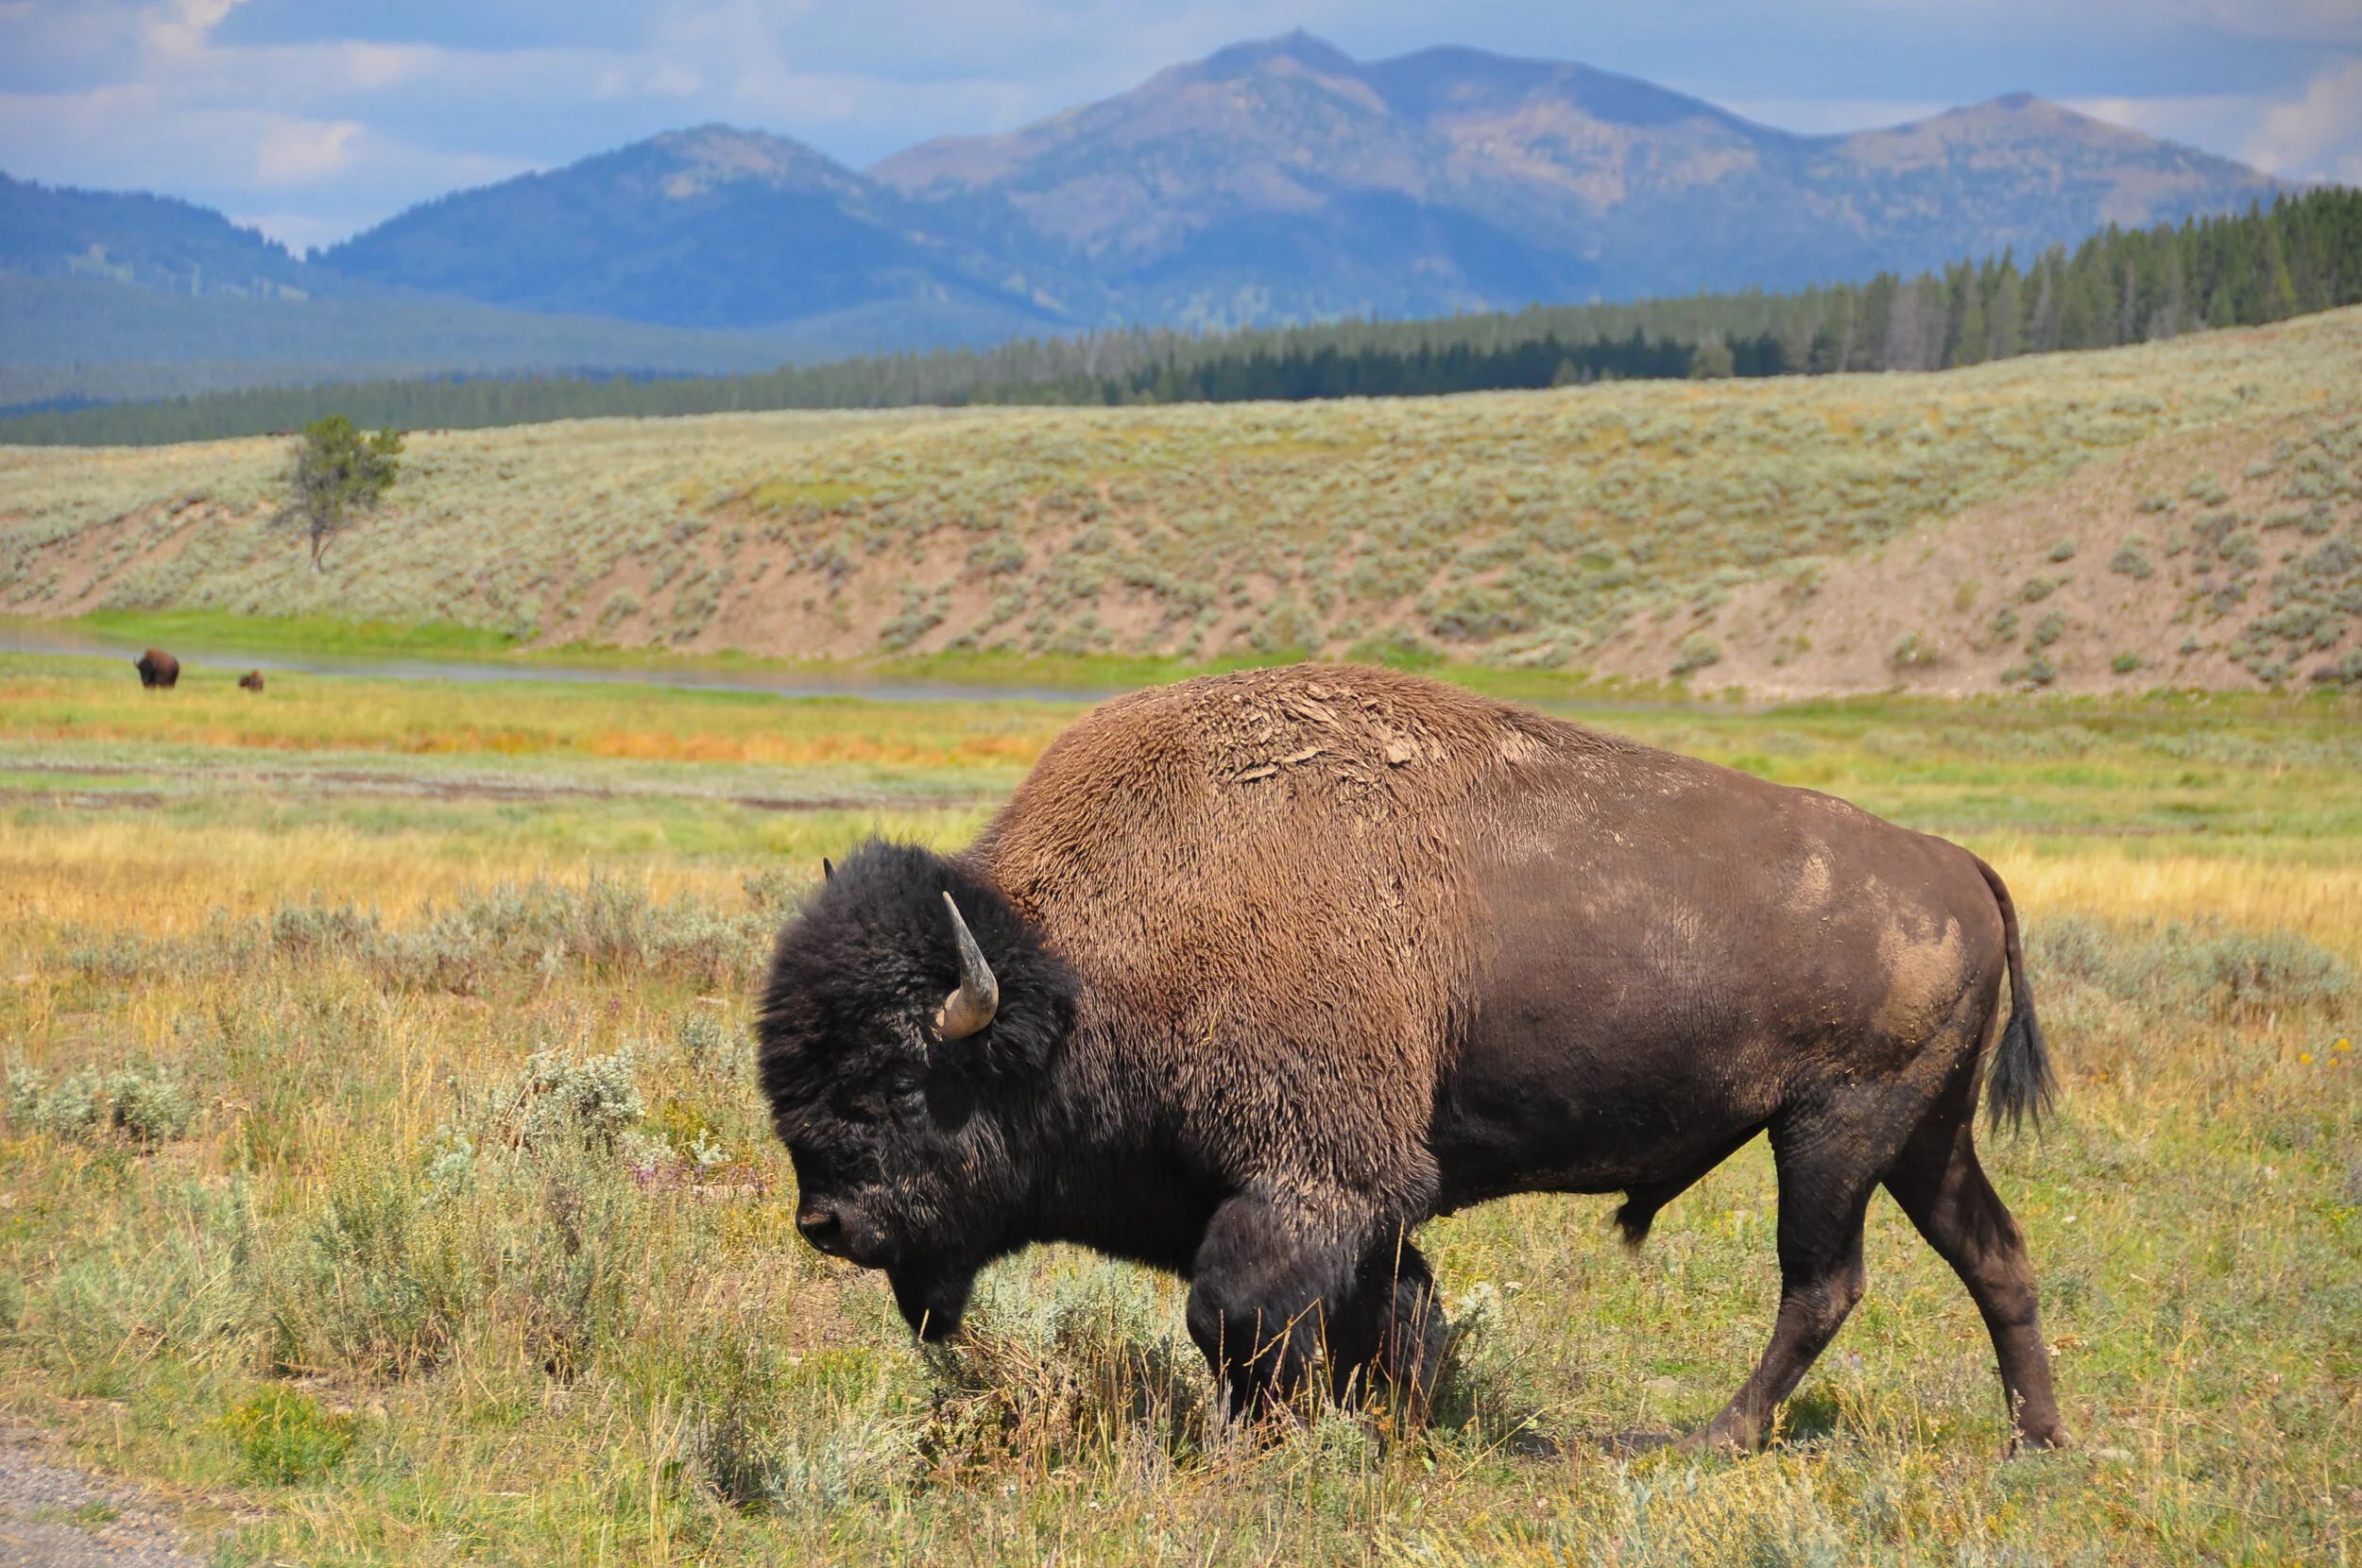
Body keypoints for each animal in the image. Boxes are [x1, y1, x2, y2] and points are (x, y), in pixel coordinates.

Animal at [758, 665, 2066, 1453]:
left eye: (898, 1084)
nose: (826, 1221)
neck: (1086, 968)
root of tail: (1956, 862)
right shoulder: (1344, 1198)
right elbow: (1393, 1310)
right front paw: (1397, 1424)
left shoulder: (1312, 1180)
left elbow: (1235, 1316)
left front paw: (1274, 1444)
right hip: (1922, 1133)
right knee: (1993, 1255)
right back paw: (2036, 1439)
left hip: (1834, 1130)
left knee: (1821, 1282)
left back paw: (1711, 1438)